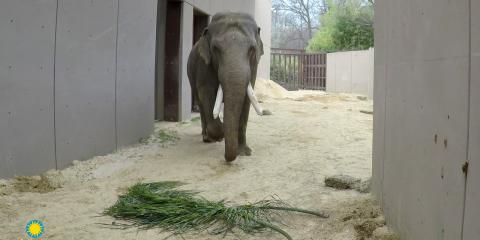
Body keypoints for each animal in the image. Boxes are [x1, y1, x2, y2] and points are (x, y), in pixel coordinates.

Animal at [187, 13, 264, 163]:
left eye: (252, 49)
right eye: (216, 49)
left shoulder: (253, 67)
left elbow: (246, 100)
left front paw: (244, 153)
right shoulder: (204, 64)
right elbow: (206, 94)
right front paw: (221, 133)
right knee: (201, 104)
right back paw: (207, 137)